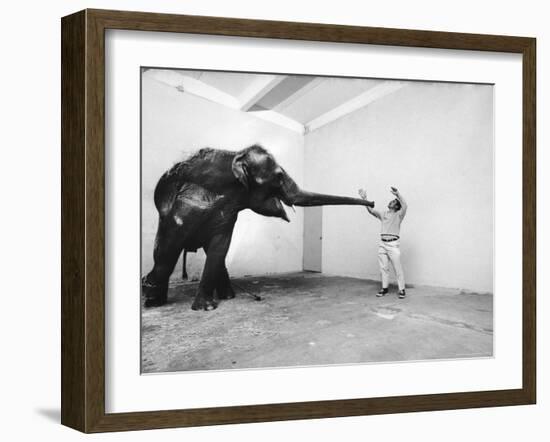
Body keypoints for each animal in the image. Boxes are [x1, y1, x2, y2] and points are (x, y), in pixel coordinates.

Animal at [141, 145, 376, 310]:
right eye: (279, 176)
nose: (372, 203)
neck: (236, 154)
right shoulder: (186, 207)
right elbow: (169, 250)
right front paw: (205, 308)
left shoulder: (228, 215)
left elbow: (220, 248)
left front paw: (207, 307)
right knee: (164, 252)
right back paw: (152, 299)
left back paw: (228, 296)